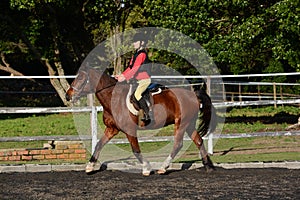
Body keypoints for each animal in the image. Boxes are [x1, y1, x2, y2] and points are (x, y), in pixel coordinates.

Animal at [65, 65, 217, 176]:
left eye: (81, 78)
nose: (68, 96)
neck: (113, 99)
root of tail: (193, 95)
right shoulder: (112, 129)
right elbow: (98, 145)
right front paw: (90, 166)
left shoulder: (129, 130)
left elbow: (136, 150)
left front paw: (146, 168)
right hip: (189, 124)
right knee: (198, 141)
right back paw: (209, 166)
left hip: (181, 124)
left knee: (178, 144)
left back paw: (163, 168)